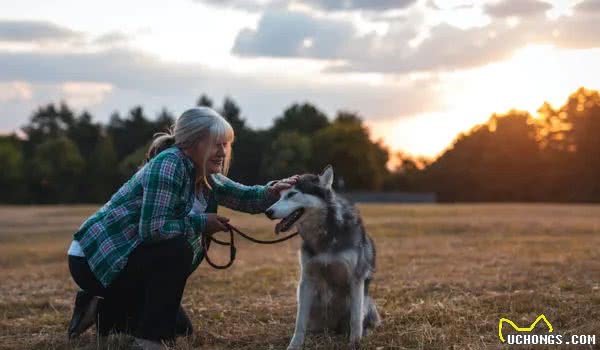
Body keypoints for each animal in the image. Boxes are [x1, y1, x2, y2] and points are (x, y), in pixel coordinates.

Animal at [266, 165, 380, 348]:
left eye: (292, 194)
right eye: (280, 196)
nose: (268, 211)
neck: (324, 233)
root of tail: (333, 327)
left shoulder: (356, 279)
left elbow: (355, 319)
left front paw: (354, 343)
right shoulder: (307, 279)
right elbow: (300, 321)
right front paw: (294, 345)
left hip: (366, 301)